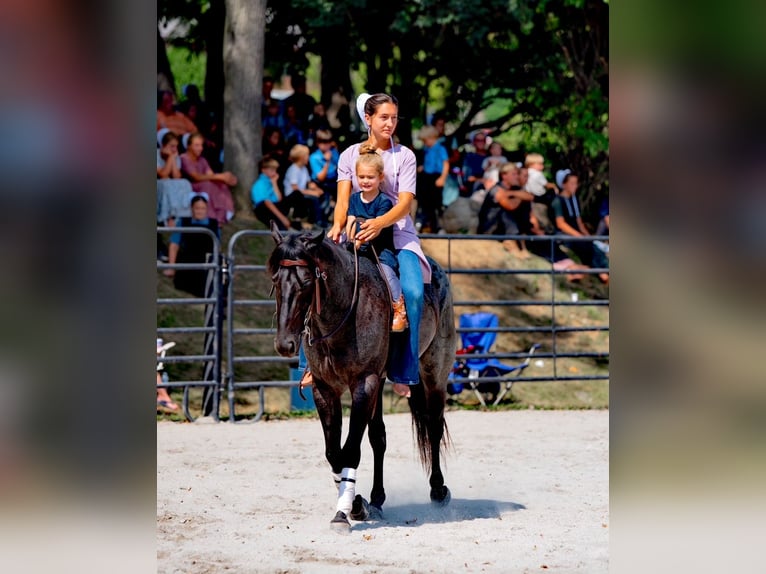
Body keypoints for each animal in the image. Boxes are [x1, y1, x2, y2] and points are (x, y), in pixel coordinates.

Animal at [272, 223, 456, 532]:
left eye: (307, 281)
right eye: (275, 280)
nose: (285, 344)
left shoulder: (364, 383)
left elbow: (350, 450)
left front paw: (344, 511)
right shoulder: (325, 388)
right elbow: (335, 453)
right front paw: (357, 502)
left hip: (434, 373)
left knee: (433, 426)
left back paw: (438, 489)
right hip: (380, 383)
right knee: (378, 437)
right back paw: (377, 498)